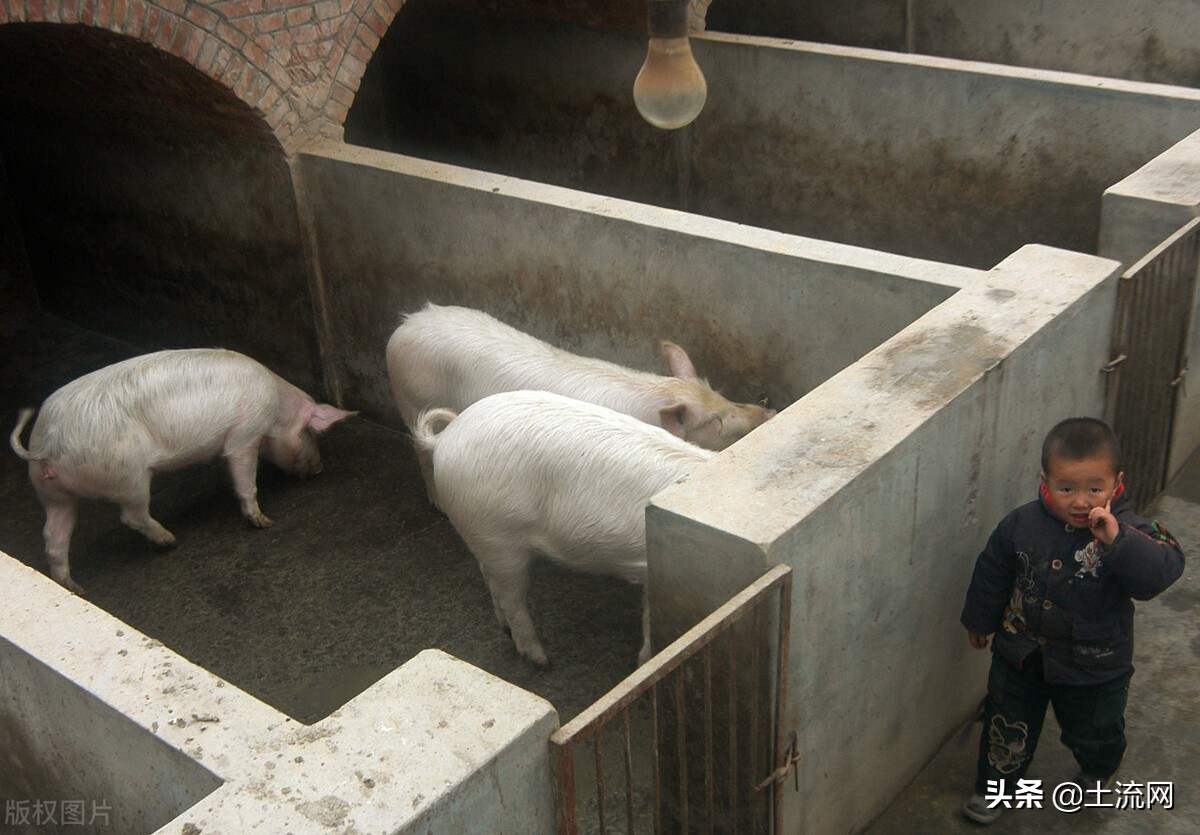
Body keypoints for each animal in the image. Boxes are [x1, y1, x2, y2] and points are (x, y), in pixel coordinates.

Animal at [10, 347, 355, 592]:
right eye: (311, 433)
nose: (320, 468)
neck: (278, 408)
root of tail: (48, 442)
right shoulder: (245, 433)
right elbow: (244, 476)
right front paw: (265, 522)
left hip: (52, 491)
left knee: (54, 535)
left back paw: (74, 588)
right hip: (128, 477)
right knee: (131, 515)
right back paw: (170, 541)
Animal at [388, 304, 768, 506]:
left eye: (720, 394)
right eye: (716, 420)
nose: (768, 411)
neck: (657, 395)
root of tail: (404, 326)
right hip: (411, 402)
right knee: (420, 452)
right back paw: (437, 503)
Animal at [415, 386, 710, 667]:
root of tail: (446, 437)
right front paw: (644, 662)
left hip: (484, 538)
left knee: (489, 579)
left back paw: (506, 630)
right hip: (497, 538)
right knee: (512, 599)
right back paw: (541, 660)